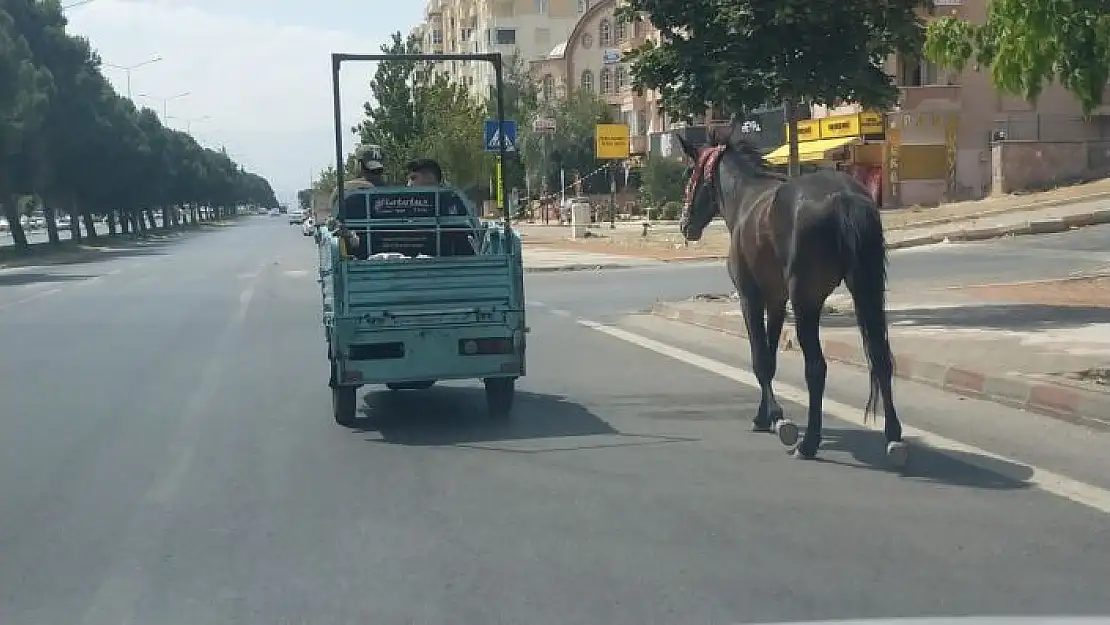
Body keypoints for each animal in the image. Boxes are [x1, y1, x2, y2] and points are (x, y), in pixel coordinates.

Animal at [670, 128, 905, 470]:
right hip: (867, 290)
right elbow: (771, 357)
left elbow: (761, 360)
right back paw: (894, 438)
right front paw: (766, 415)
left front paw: (777, 419)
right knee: (880, 357)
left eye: (690, 173)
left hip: (806, 301)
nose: (685, 224)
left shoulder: (751, 298)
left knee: (816, 368)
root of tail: (843, 198)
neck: (745, 198)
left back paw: (809, 442)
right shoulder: (777, 301)